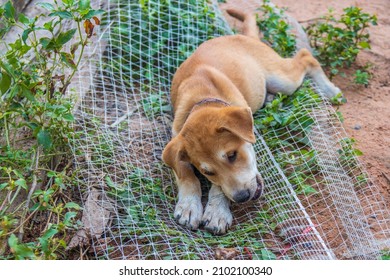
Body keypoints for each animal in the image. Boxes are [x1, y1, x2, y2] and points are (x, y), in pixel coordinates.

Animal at [161, 9, 338, 234]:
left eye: (232, 155)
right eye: (207, 172)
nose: (241, 198)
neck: (202, 97)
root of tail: (244, 37)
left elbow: (219, 188)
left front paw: (217, 211)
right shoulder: (175, 142)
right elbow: (185, 173)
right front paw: (189, 205)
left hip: (283, 79)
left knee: (306, 57)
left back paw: (330, 90)